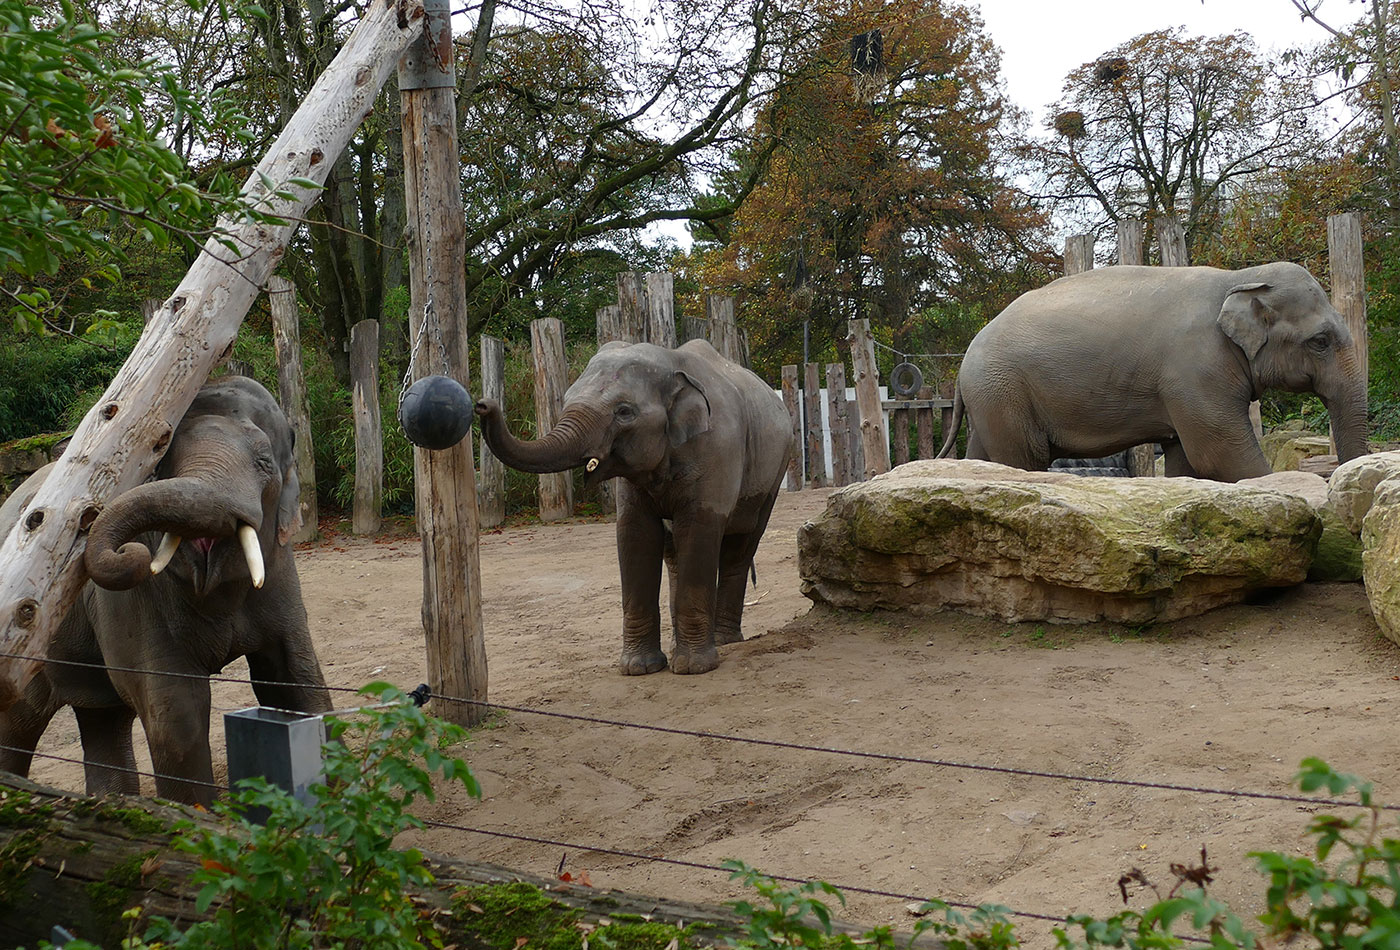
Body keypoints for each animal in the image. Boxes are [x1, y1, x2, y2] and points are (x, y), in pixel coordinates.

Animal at [0, 374, 330, 805]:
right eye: (161, 462)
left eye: (264, 463)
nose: (126, 549)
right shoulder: (132, 604)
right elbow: (177, 713)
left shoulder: (280, 573)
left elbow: (296, 683)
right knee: (19, 724)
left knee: (103, 720)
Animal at [476, 339, 795, 677]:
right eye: (565, 400)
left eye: (624, 412)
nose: (482, 403)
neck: (671, 362)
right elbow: (635, 534)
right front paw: (638, 668)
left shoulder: (718, 448)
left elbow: (698, 528)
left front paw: (693, 668)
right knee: (675, 553)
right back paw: (682, 643)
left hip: (775, 471)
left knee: (740, 547)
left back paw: (723, 641)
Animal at [935, 261, 1372, 478]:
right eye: (1320, 341)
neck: (1241, 279)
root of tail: (966, 355)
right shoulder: (1196, 368)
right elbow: (1218, 452)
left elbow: (1186, 460)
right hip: (1003, 391)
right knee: (1023, 459)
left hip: (991, 399)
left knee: (984, 455)